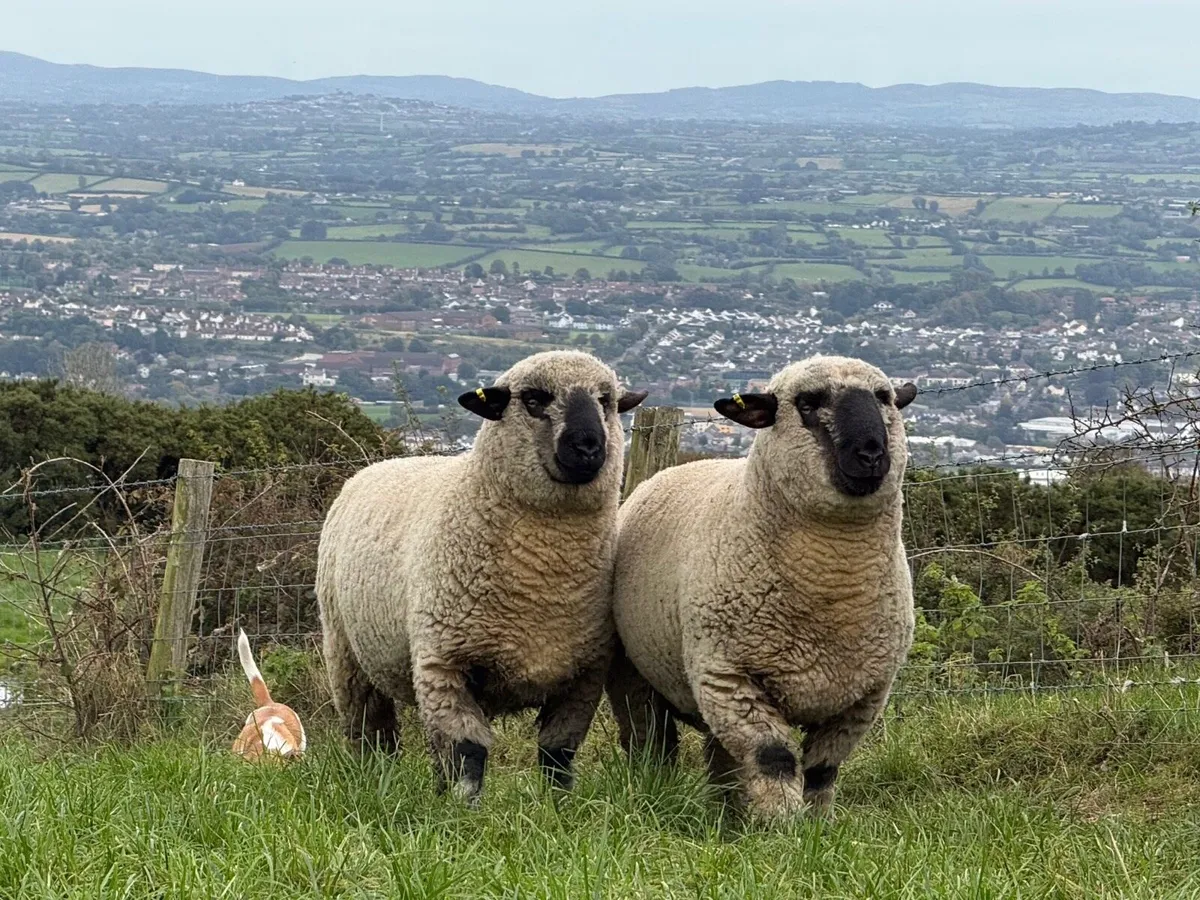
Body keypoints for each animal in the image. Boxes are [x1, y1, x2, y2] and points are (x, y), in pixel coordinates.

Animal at [317, 350, 646, 804]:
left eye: (607, 401)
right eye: (533, 399)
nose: (588, 444)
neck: (542, 578)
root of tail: (379, 466)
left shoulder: (583, 675)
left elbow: (558, 755)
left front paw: (559, 807)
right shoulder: (444, 663)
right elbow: (468, 752)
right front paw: (466, 810)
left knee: (431, 748)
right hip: (346, 653)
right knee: (370, 733)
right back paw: (373, 782)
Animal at [606, 355, 917, 820]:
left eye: (884, 398)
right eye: (807, 403)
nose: (870, 453)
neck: (832, 585)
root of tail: (665, 473)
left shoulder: (863, 697)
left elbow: (822, 770)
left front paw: (817, 824)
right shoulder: (730, 677)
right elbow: (773, 758)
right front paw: (781, 826)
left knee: (721, 758)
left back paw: (728, 813)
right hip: (635, 675)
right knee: (651, 742)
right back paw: (654, 791)